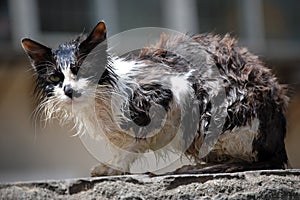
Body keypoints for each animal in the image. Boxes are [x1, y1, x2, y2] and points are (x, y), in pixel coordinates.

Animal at [21, 21, 288, 176]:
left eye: (83, 70)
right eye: (55, 77)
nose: (68, 90)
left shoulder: (172, 90)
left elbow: (133, 141)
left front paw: (115, 167)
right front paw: (113, 165)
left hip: (216, 111)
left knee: (253, 159)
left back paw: (197, 167)